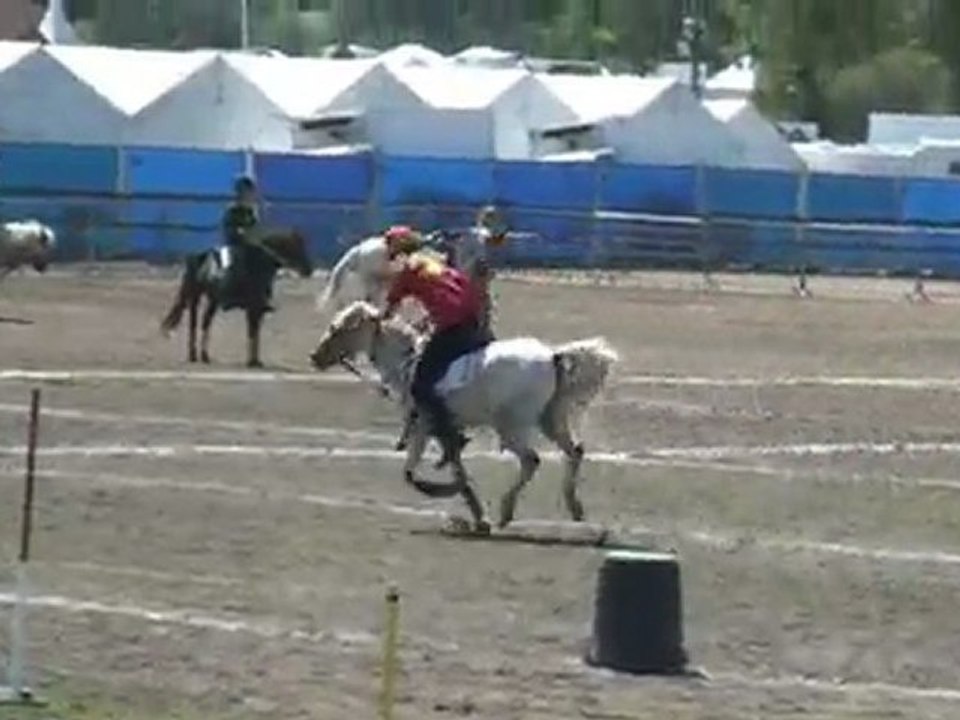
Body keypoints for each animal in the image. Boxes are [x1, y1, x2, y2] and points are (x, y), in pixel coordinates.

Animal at [160, 228, 314, 368]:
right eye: (297, 247)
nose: (308, 270)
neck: (261, 262)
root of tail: (200, 256)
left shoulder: (256, 310)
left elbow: (254, 332)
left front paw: (255, 360)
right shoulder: (254, 308)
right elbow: (253, 332)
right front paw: (252, 362)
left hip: (212, 300)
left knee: (205, 322)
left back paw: (203, 356)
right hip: (195, 297)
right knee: (194, 324)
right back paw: (194, 355)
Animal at [308, 301, 618, 534]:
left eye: (339, 328)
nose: (315, 356)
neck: (407, 361)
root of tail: (552, 356)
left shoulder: (424, 426)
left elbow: (412, 473)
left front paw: (457, 503)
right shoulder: (443, 431)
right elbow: (454, 465)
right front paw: (476, 514)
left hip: (511, 425)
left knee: (531, 460)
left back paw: (506, 510)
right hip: (550, 418)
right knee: (575, 451)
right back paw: (574, 507)